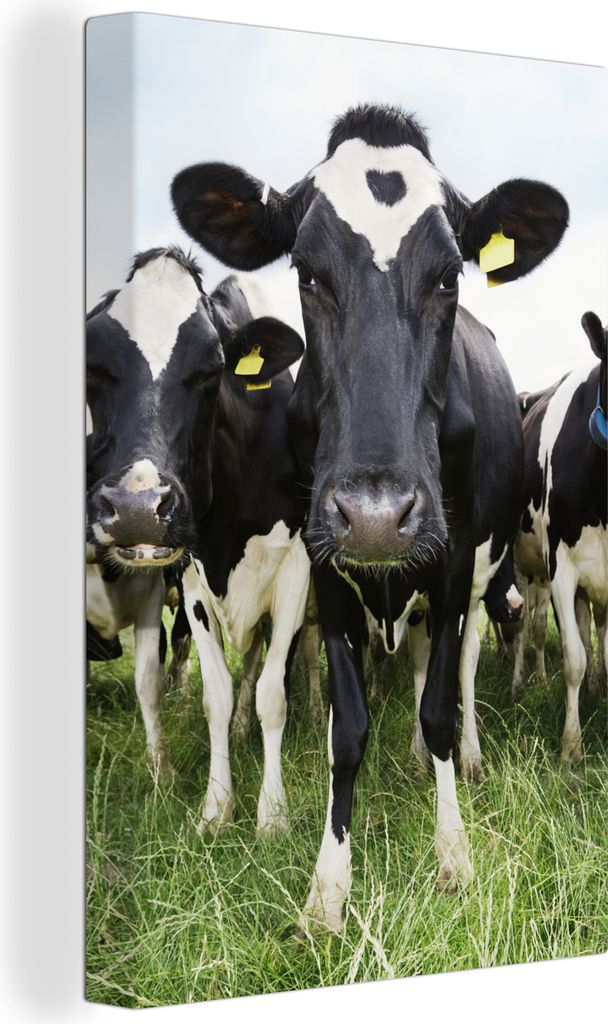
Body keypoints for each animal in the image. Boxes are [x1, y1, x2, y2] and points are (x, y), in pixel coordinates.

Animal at [86, 246, 310, 833]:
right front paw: (216, 807)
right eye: (93, 366)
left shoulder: (295, 573)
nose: (138, 510)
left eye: (211, 370)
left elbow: (273, 693)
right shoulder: (191, 579)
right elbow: (218, 695)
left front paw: (272, 815)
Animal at [171, 103, 569, 930]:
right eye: (306, 272)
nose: (380, 516)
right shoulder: (324, 567)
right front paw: (329, 887)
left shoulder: (452, 562)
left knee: (459, 670)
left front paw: (454, 854)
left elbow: (442, 703)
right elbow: (345, 729)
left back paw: (458, 760)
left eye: (449, 275)